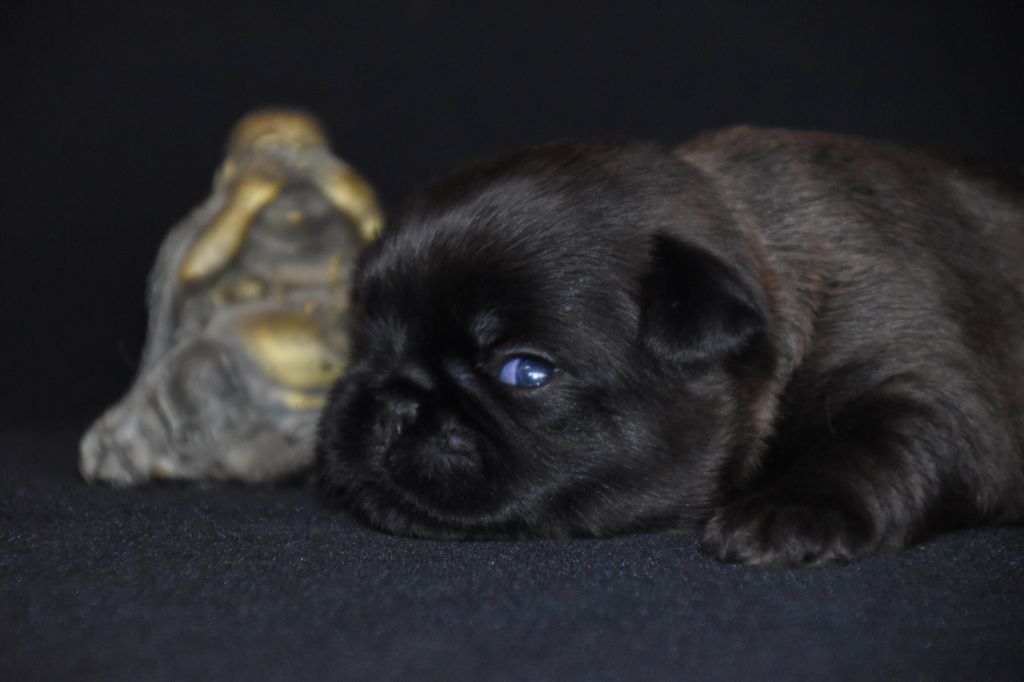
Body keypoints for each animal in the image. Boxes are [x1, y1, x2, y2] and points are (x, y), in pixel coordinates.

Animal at [316, 126, 1024, 566]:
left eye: (525, 372)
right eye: (365, 343)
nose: (394, 401)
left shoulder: (922, 386)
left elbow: (877, 447)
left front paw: (789, 511)